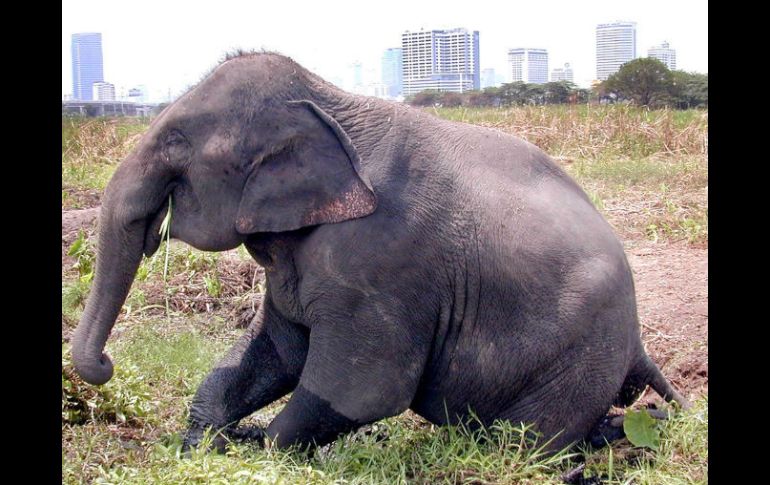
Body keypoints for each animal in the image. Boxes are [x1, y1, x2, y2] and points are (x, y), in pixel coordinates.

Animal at [70, 51, 684, 452]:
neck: (329, 101)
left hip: (579, 359)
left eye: (176, 142)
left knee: (526, 443)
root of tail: (638, 341)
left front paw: (254, 445)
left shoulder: (382, 263)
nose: (106, 364)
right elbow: (278, 351)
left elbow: (360, 388)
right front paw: (203, 441)